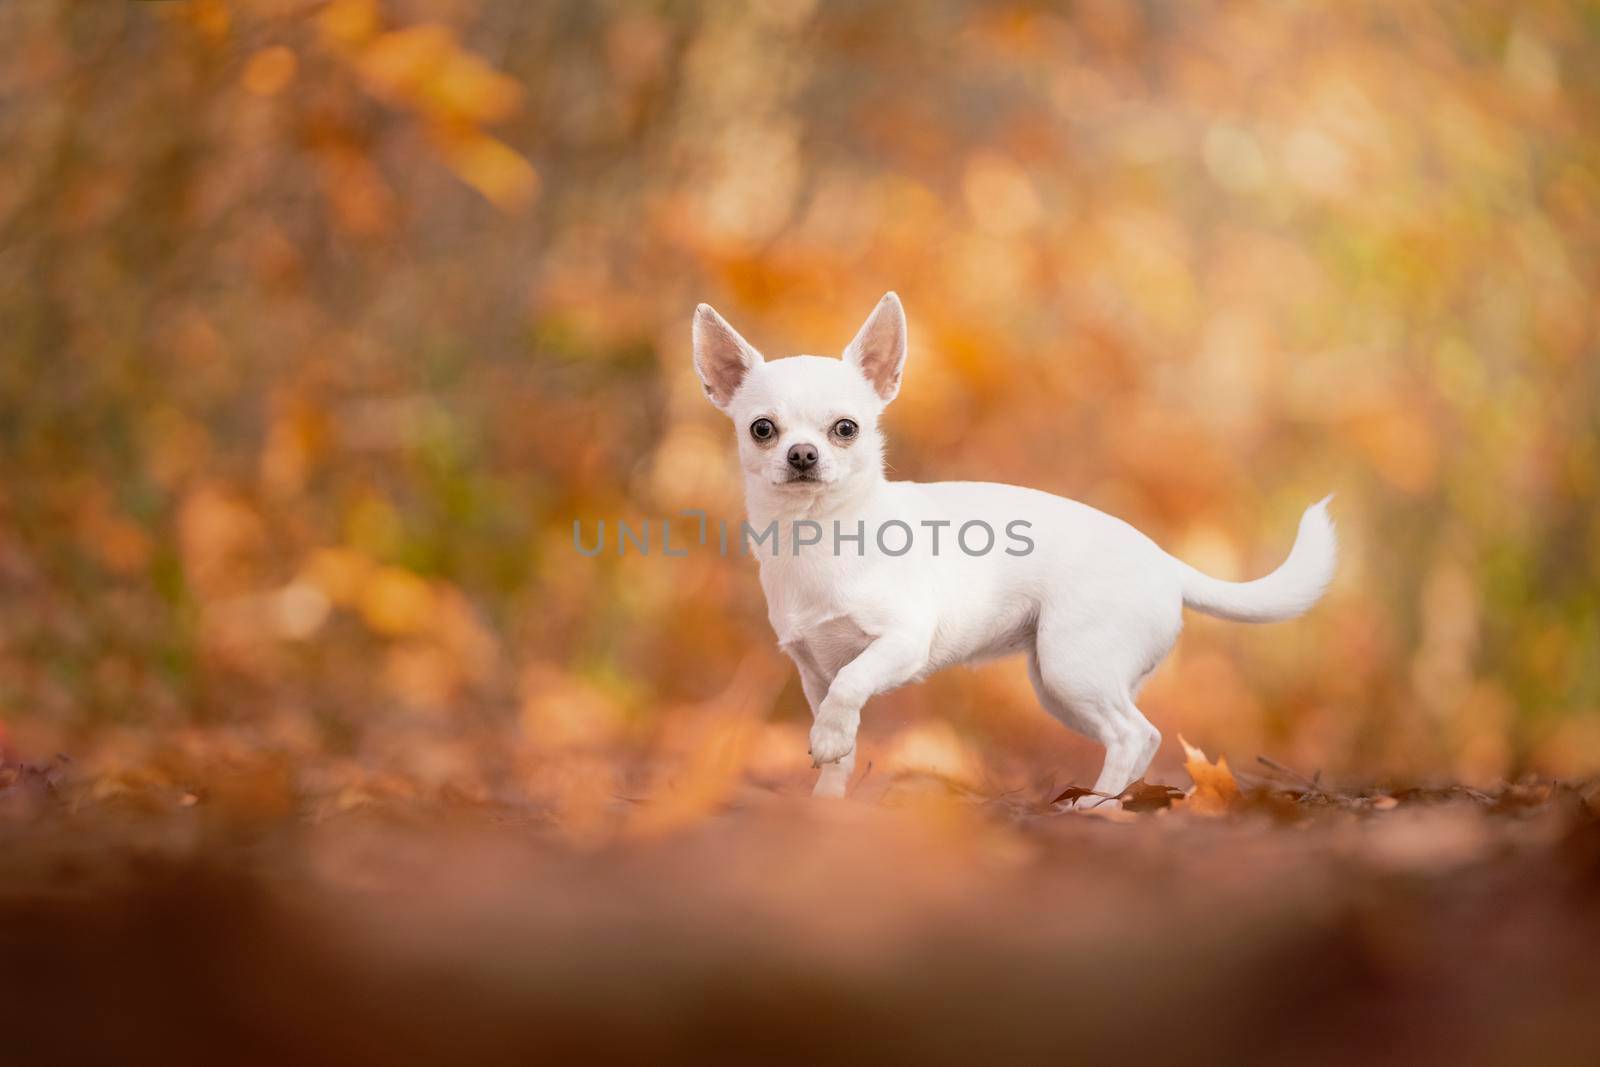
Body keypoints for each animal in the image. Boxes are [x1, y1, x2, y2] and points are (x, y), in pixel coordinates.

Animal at [694, 295, 1331, 806]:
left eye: (845, 428)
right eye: (762, 429)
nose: (802, 455)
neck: (818, 532)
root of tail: (1165, 561)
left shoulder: (900, 643)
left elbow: (852, 685)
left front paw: (826, 743)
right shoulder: (813, 674)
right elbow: (842, 731)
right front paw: (827, 799)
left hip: (1072, 666)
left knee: (1134, 733)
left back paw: (1095, 805)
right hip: (1061, 686)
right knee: (1138, 735)